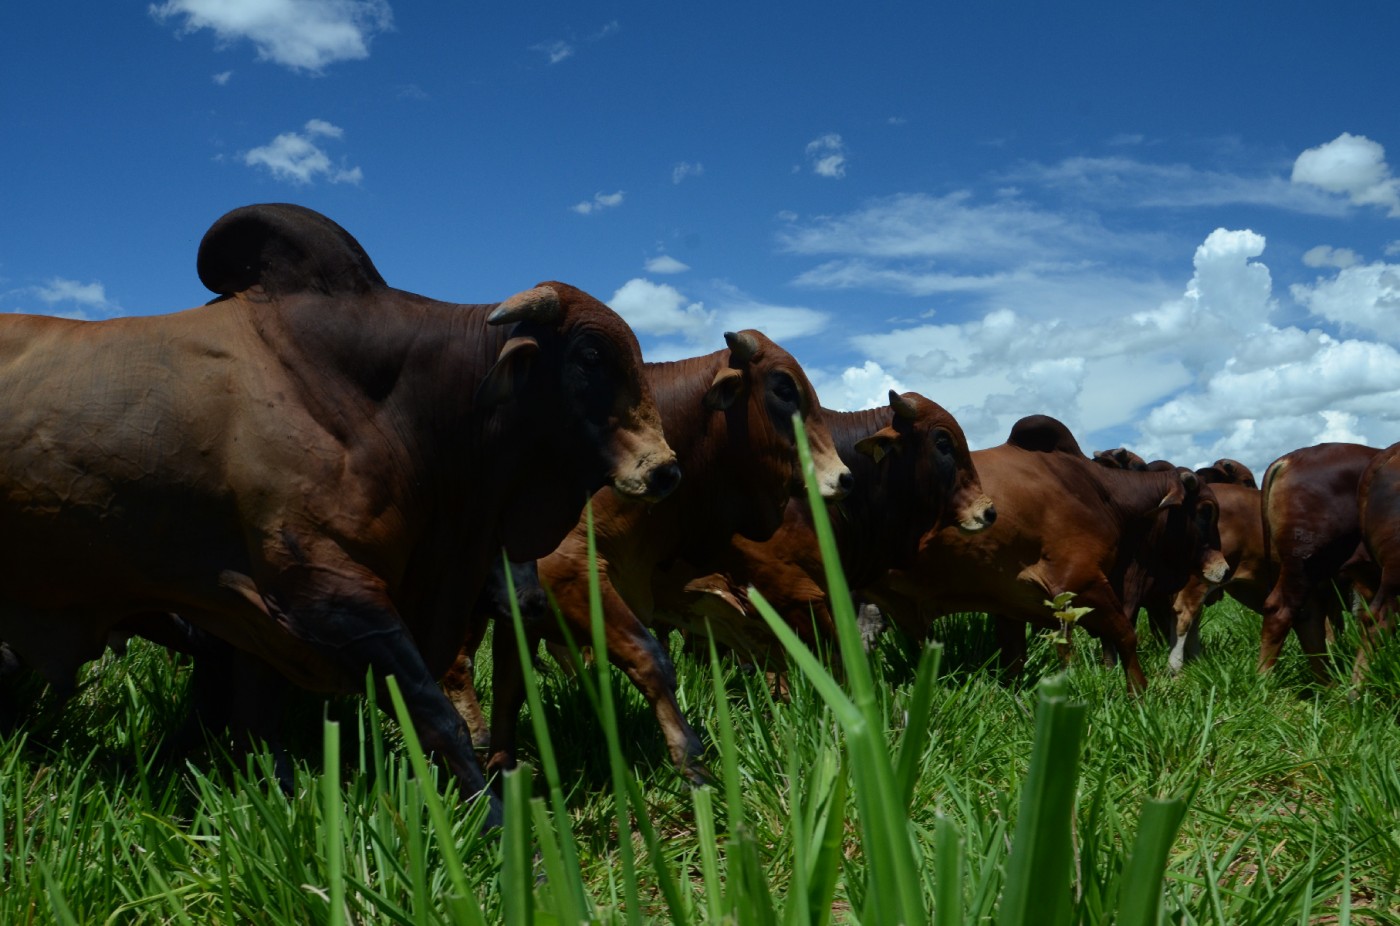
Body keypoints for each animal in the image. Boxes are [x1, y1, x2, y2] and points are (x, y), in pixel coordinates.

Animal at [0, 204, 677, 823]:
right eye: (589, 356)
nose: (665, 468)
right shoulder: (327, 595)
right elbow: (434, 716)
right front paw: (499, 827)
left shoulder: (255, 622)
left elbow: (252, 727)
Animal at [478, 332, 851, 778]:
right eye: (783, 388)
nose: (843, 476)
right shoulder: (560, 577)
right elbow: (648, 660)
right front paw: (694, 766)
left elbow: (512, 687)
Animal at [868, 414, 1220, 689]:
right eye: (1206, 511)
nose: (1224, 568)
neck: (1100, 491)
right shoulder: (1082, 580)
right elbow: (1123, 636)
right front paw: (1140, 693)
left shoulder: (1010, 602)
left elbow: (1016, 658)